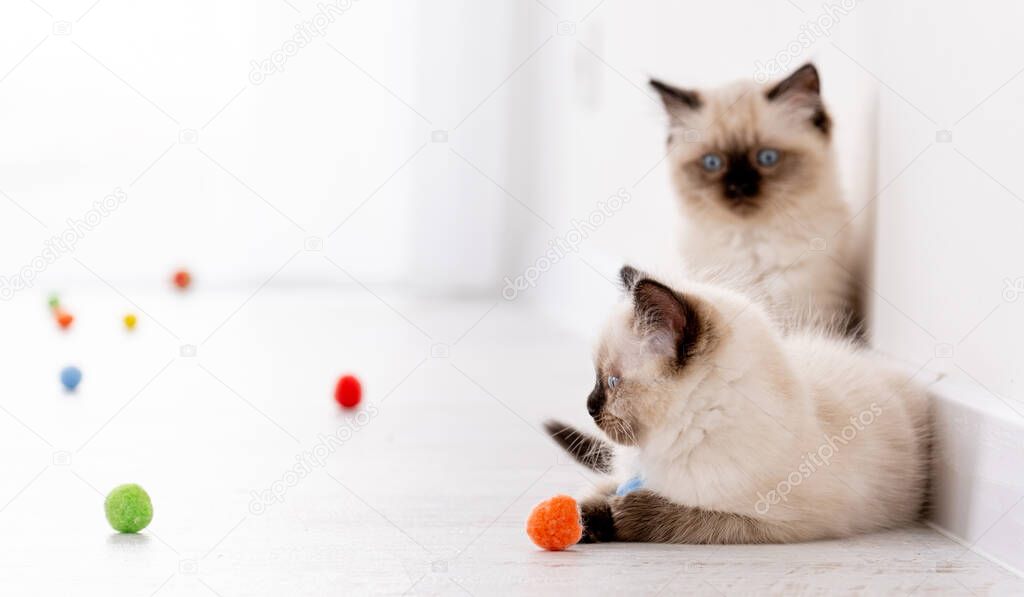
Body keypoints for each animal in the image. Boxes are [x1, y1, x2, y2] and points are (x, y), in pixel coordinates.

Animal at [548, 268, 933, 544]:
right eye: (598, 379)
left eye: (612, 382)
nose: (589, 407)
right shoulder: (627, 475)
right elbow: (595, 492)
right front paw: (581, 519)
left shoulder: (772, 522)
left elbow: (682, 516)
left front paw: (624, 514)